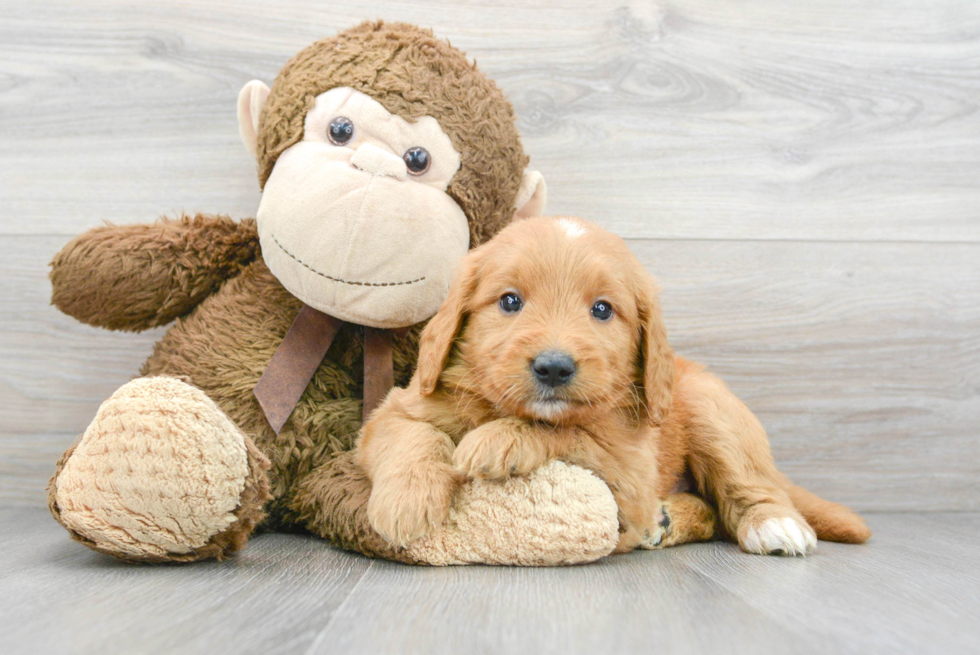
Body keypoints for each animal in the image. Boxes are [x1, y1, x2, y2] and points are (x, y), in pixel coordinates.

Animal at [356, 218, 868, 556]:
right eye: (510, 301)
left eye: (602, 310)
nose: (554, 368)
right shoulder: (396, 409)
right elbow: (413, 436)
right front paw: (406, 502)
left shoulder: (630, 473)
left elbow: (569, 431)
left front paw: (499, 440)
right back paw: (668, 521)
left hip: (713, 413)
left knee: (747, 488)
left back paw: (773, 525)